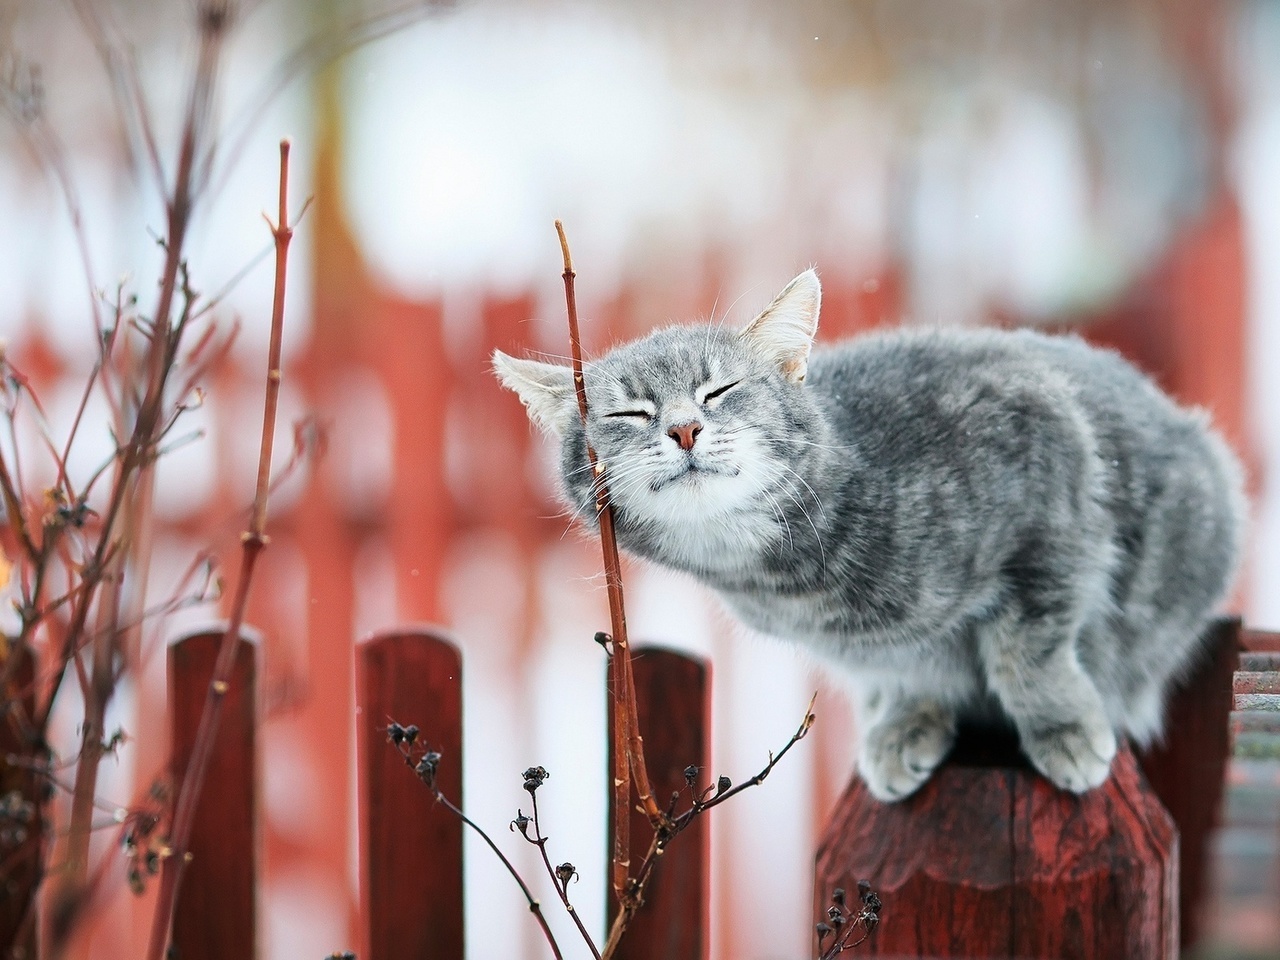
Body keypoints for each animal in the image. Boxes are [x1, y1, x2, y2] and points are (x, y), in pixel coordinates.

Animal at [488, 271, 1239, 803]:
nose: (683, 428)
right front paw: (907, 719)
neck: (788, 579)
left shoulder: (1052, 486)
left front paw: (1062, 726)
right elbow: (905, 668)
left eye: (720, 391)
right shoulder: (870, 651)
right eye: (630, 413)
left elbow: (1028, 651)